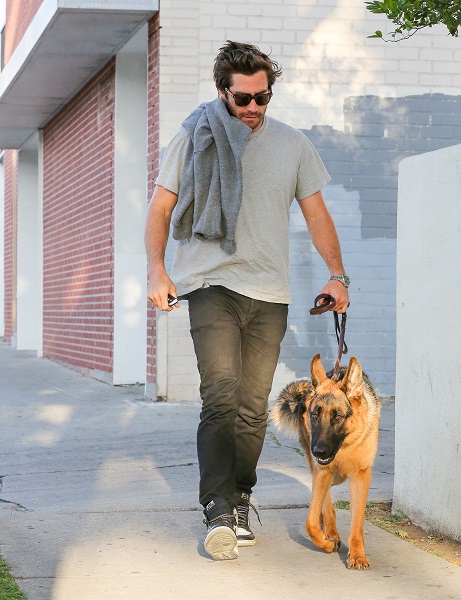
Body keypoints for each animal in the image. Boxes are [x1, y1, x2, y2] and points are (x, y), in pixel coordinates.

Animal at [272, 354, 380, 568]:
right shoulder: (322, 472)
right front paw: (326, 543)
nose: (318, 451)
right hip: (321, 472)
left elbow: (357, 522)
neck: (345, 447)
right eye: (315, 415)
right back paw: (330, 534)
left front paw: (357, 554)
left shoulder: (360, 478)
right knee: (326, 505)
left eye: (337, 417)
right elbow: (311, 522)